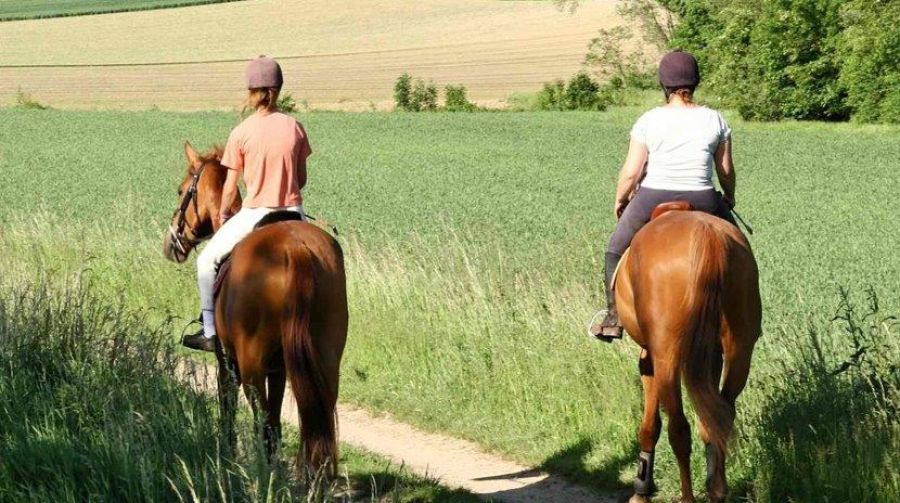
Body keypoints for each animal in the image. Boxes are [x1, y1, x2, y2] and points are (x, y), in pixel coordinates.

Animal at [163, 142, 348, 477]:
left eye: (182, 190)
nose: (172, 243)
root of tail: (296, 249)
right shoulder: (280, 368)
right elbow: (276, 419)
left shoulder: (227, 362)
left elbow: (229, 407)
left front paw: (227, 454)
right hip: (326, 356)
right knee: (316, 415)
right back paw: (314, 476)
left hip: (251, 365)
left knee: (262, 420)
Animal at [614, 203, 761, 503]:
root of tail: (708, 238)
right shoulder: (711, 357)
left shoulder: (649, 358)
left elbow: (650, 425)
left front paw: (641, 489)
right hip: (740, 349)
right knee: (721, 417)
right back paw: (717, 489)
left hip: (667, 357)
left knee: (679, 430)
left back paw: (688, 497)